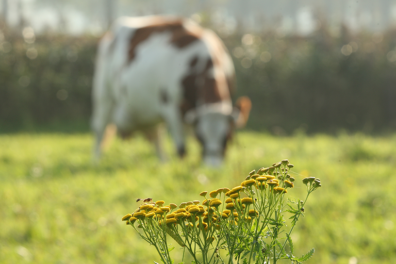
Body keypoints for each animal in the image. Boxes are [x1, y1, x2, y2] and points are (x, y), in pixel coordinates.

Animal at [91, 15, 251, 166]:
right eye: (200, 137)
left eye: (228, 137)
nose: (213, 167)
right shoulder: (171, 107)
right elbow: (181, 149)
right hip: (104, 95)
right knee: (100, 128)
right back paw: (96, 160)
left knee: (155, 134)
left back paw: (164, 162)